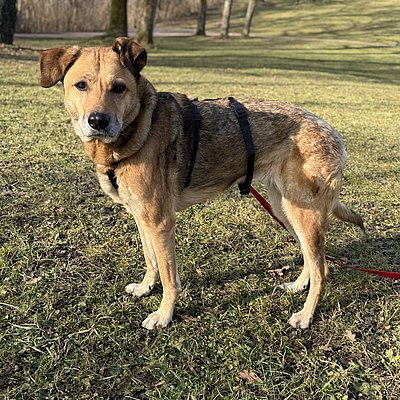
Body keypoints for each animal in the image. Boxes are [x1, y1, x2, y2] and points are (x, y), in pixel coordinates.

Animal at [39, 37, 363, 330]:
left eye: (119, 88)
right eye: (81, 85)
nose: (98, 121)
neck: (141, 127)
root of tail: (333, 133)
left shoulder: (160, 222)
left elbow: (169, 277)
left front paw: (164, 315)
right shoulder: (142, 218)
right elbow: (151, 260)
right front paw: (145, 288)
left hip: (302, 212)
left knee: (322, 269)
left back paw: (305, 316)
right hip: (284, 209)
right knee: (312, 259)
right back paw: (298, 286)